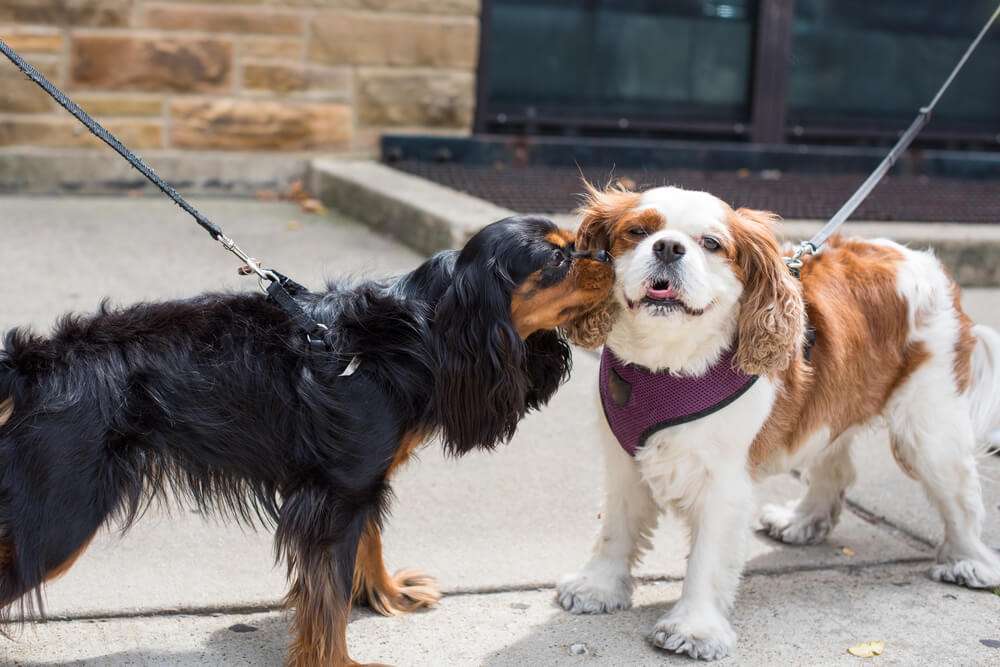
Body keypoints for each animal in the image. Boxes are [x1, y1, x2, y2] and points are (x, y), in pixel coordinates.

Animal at [556, 183, 1000, 664]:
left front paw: (694, 628)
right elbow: (615, 528)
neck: (666, 365)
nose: (669, 247)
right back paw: (803, 519)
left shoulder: (724, 483)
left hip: (928, 431)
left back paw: (970, 561)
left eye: (711, 243)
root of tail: (931, 266)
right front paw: (598, 587)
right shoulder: (625, 459)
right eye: (637, 232)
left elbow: (707, 558)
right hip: (836, 401)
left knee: (961, 497)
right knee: (835, 466)